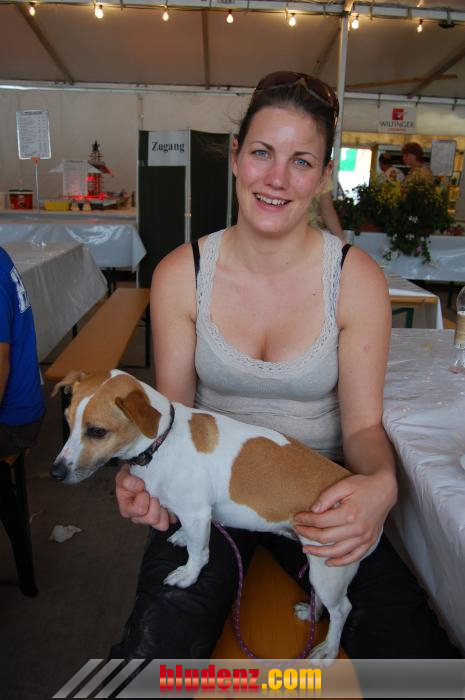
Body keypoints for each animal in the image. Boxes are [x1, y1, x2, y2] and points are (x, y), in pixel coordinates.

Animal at [51, 368, 365, 661]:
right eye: (67, 421)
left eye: (97, 431)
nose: (55, 472)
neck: (162, 442)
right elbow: (188, 534)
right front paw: (180, 535)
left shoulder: (197, 514)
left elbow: (198, 552)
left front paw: (188, 574)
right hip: (319, 567)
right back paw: (312, 614)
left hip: (328, 570)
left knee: (343, 609)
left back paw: (329, 649)